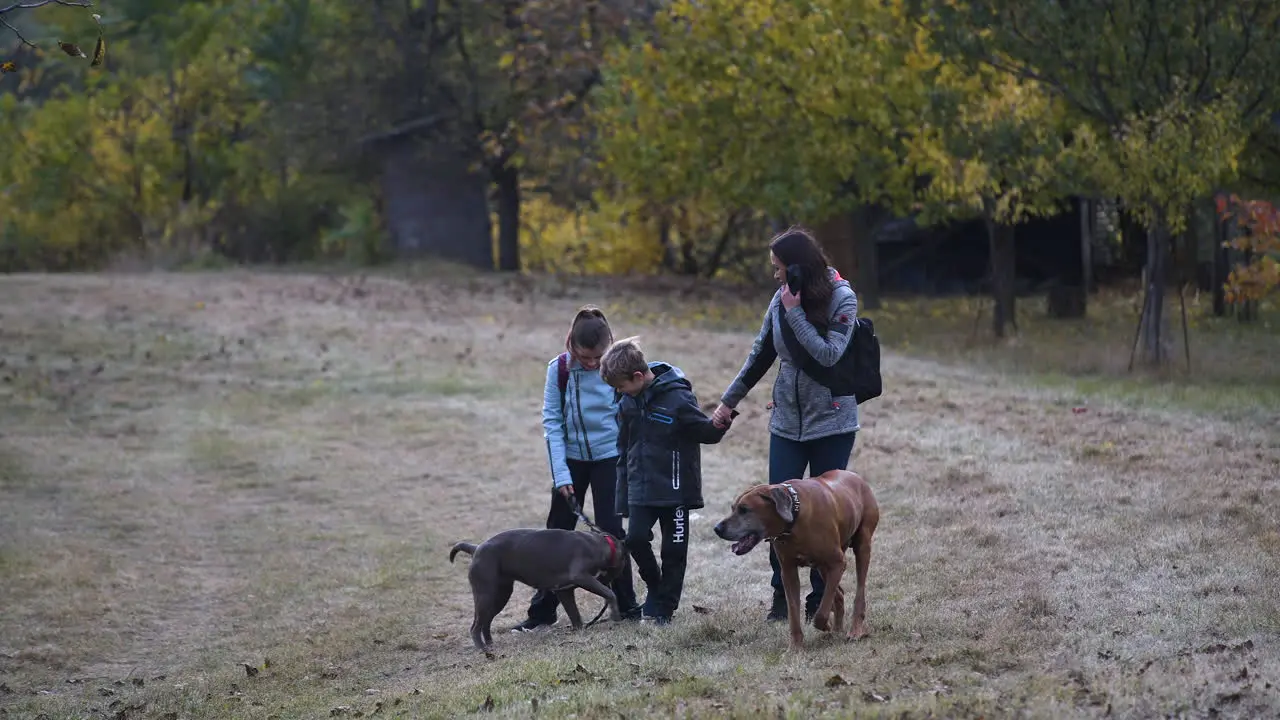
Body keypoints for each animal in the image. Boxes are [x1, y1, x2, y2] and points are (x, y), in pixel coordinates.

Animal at [450, 525, 629, 648]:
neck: (603, 545)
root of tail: (476, 548)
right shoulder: (581, 577)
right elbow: (609, 593)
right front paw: (615, 615)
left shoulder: (564, 590)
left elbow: (575, 614)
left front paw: (579, 631)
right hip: (486, 595)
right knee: (475, 626)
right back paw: (483, 649)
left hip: (500, 595)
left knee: (486, 622)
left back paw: (490, 644)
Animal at [711, 468, 880, 648]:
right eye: (733, 508)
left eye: (744, 509)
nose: (717, 529)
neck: (794, 519)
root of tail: (856, 477)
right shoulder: (788, 572)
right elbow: (793, 612)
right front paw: (795, 647)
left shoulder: (837, 563)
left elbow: (821, 613)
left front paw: (823, 625)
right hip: (822, 567)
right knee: (839, 594)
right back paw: (837, 629)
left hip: (861, 545)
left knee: (858, 595)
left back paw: (855, 631)